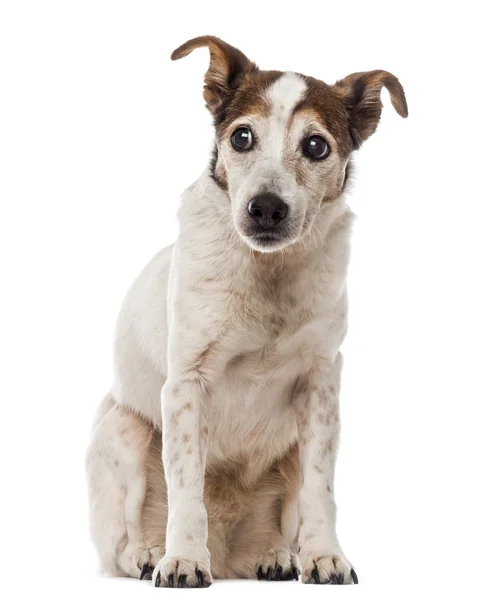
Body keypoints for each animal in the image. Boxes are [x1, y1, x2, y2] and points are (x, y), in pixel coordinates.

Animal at [85, 36, 406, 584]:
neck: (267, 274)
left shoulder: (321, 386)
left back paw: (274, 554)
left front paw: (325, 556)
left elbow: (321, 489)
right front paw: (183, 559)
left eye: (316, 146)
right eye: (241, 137)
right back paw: (152, 553)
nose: (267, 208)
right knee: (124, 544)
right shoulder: (186, 385)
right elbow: (187, 488)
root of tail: (228, 551)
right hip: (124, 430)